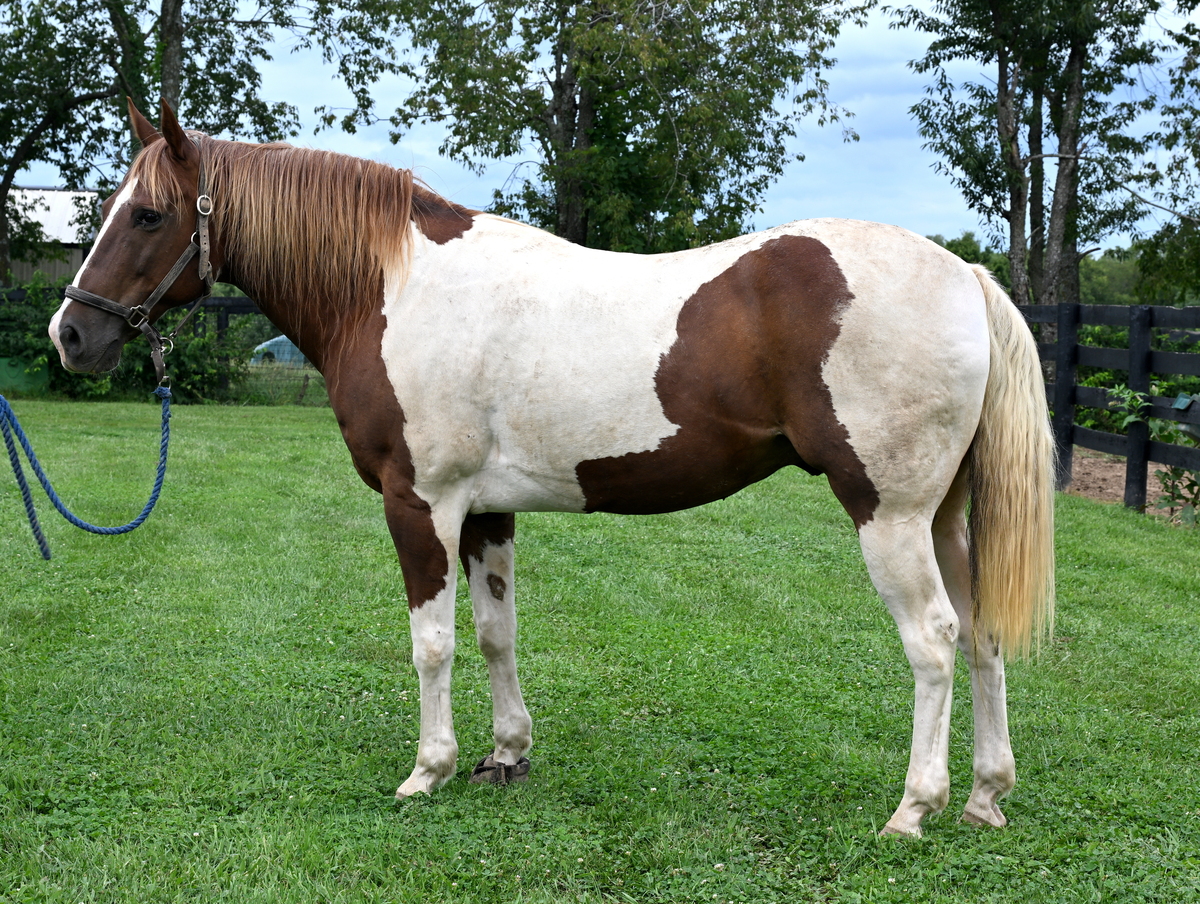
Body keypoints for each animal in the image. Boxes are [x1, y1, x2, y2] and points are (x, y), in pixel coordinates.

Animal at [49, 101, 1054, 837]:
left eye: (147, 213)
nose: (72, 335)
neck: (393, 289)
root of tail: (965, 275)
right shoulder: (486, 512)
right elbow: (497, 633)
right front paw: (505, 755)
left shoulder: (422, 506)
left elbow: (433, 642)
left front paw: (427, 770)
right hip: (944, 517)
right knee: (982, 634)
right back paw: (984, 796)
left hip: (889, 515)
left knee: (933, 641)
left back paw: (914, 809)